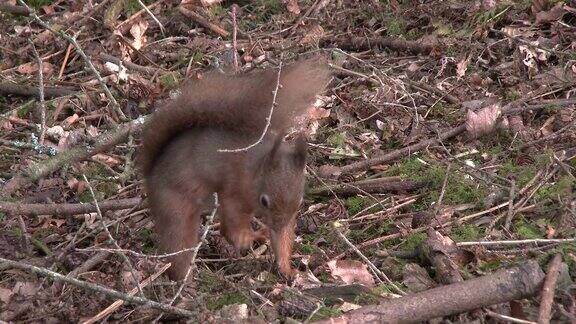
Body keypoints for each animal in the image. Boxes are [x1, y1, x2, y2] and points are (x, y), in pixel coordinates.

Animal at [139, 57, 328, 280]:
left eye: (300, 201)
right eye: (264, 201)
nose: (277, 226)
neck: (256, 168)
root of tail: (151, 172)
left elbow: (282, 239)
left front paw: (286, 268)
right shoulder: (234, 190)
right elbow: (231, 227)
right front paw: (246, 238)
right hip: (174, 205)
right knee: (179, 242)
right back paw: (184, 277)